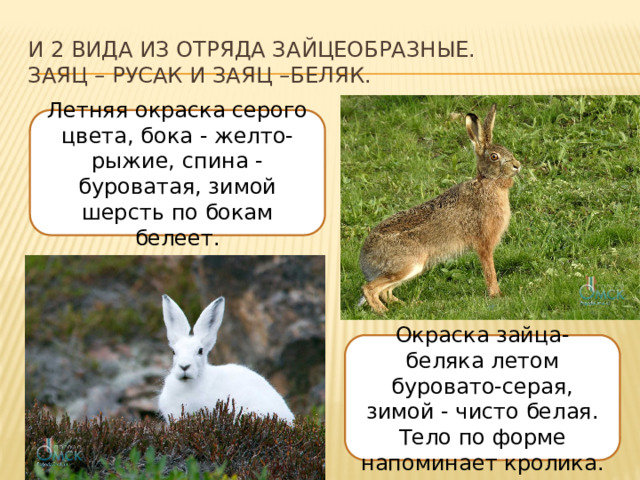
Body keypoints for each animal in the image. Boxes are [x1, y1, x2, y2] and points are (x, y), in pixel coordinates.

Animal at [359, 104, 521, 313]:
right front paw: (497, 295)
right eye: (494, 157)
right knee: (370, 289)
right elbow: (489, 270)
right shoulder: (484, 242)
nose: (518, 165)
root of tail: (365, 262)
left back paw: (407, 305)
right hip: (408, 264)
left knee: (385, 291)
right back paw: (383, 312)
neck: (488, 183)